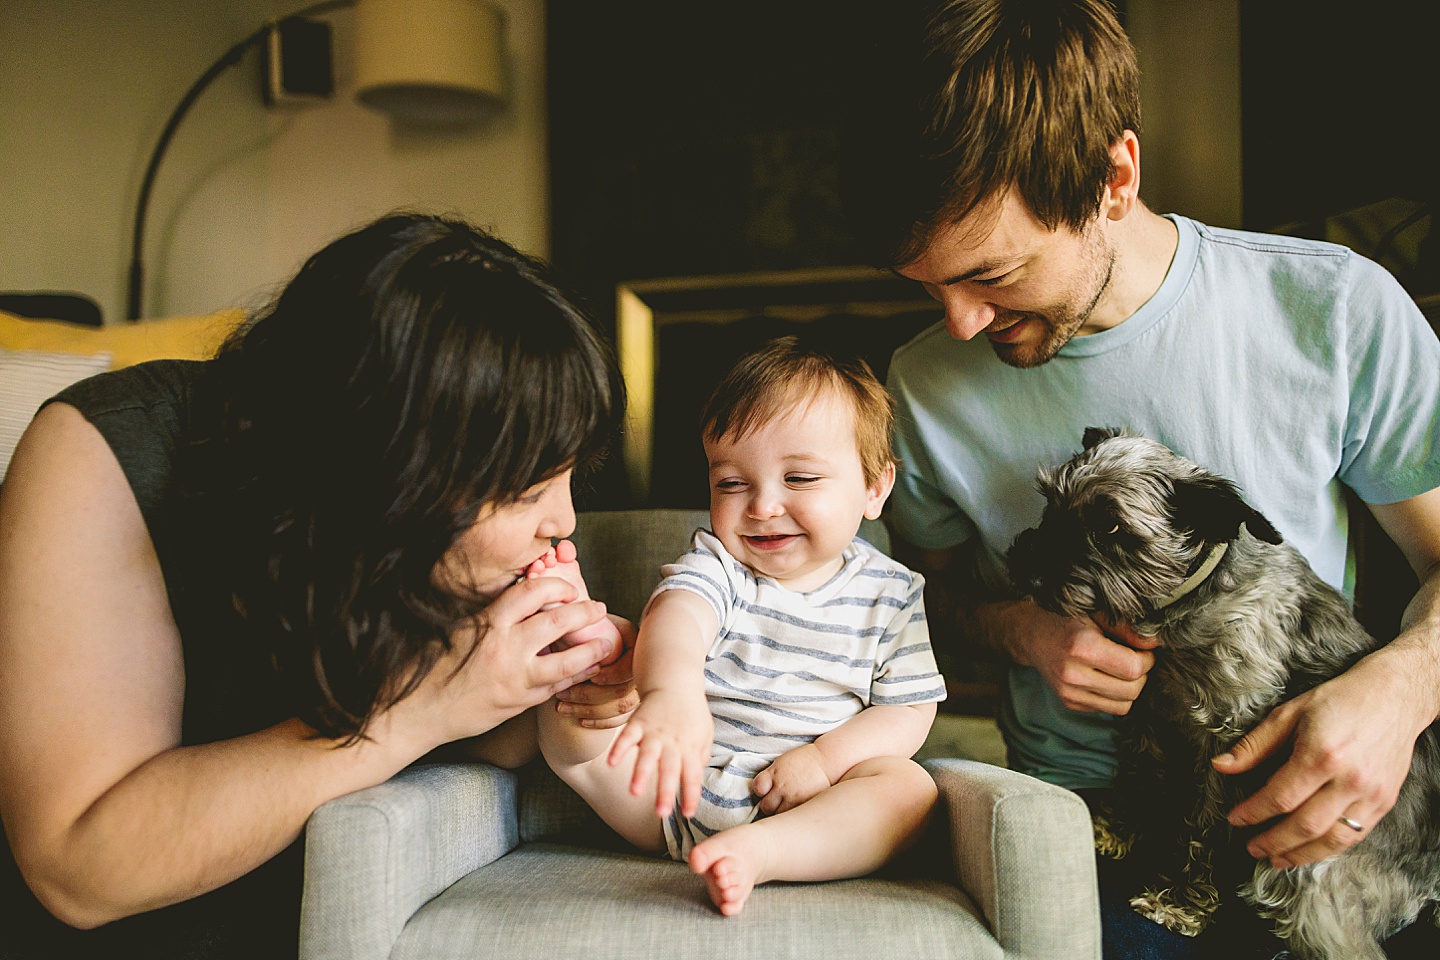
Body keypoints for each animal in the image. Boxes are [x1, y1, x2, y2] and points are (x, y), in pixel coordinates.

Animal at [1008, 428, 1434, 960]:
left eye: (1110, 526)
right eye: (1050, 501)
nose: (1023, 570)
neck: (1184, 602)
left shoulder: (1227, 741)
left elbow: (1204, 829)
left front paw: (1182, 905)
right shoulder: (1145, 709)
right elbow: (1137, 772)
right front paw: (1115, 829)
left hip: (1306, 875)